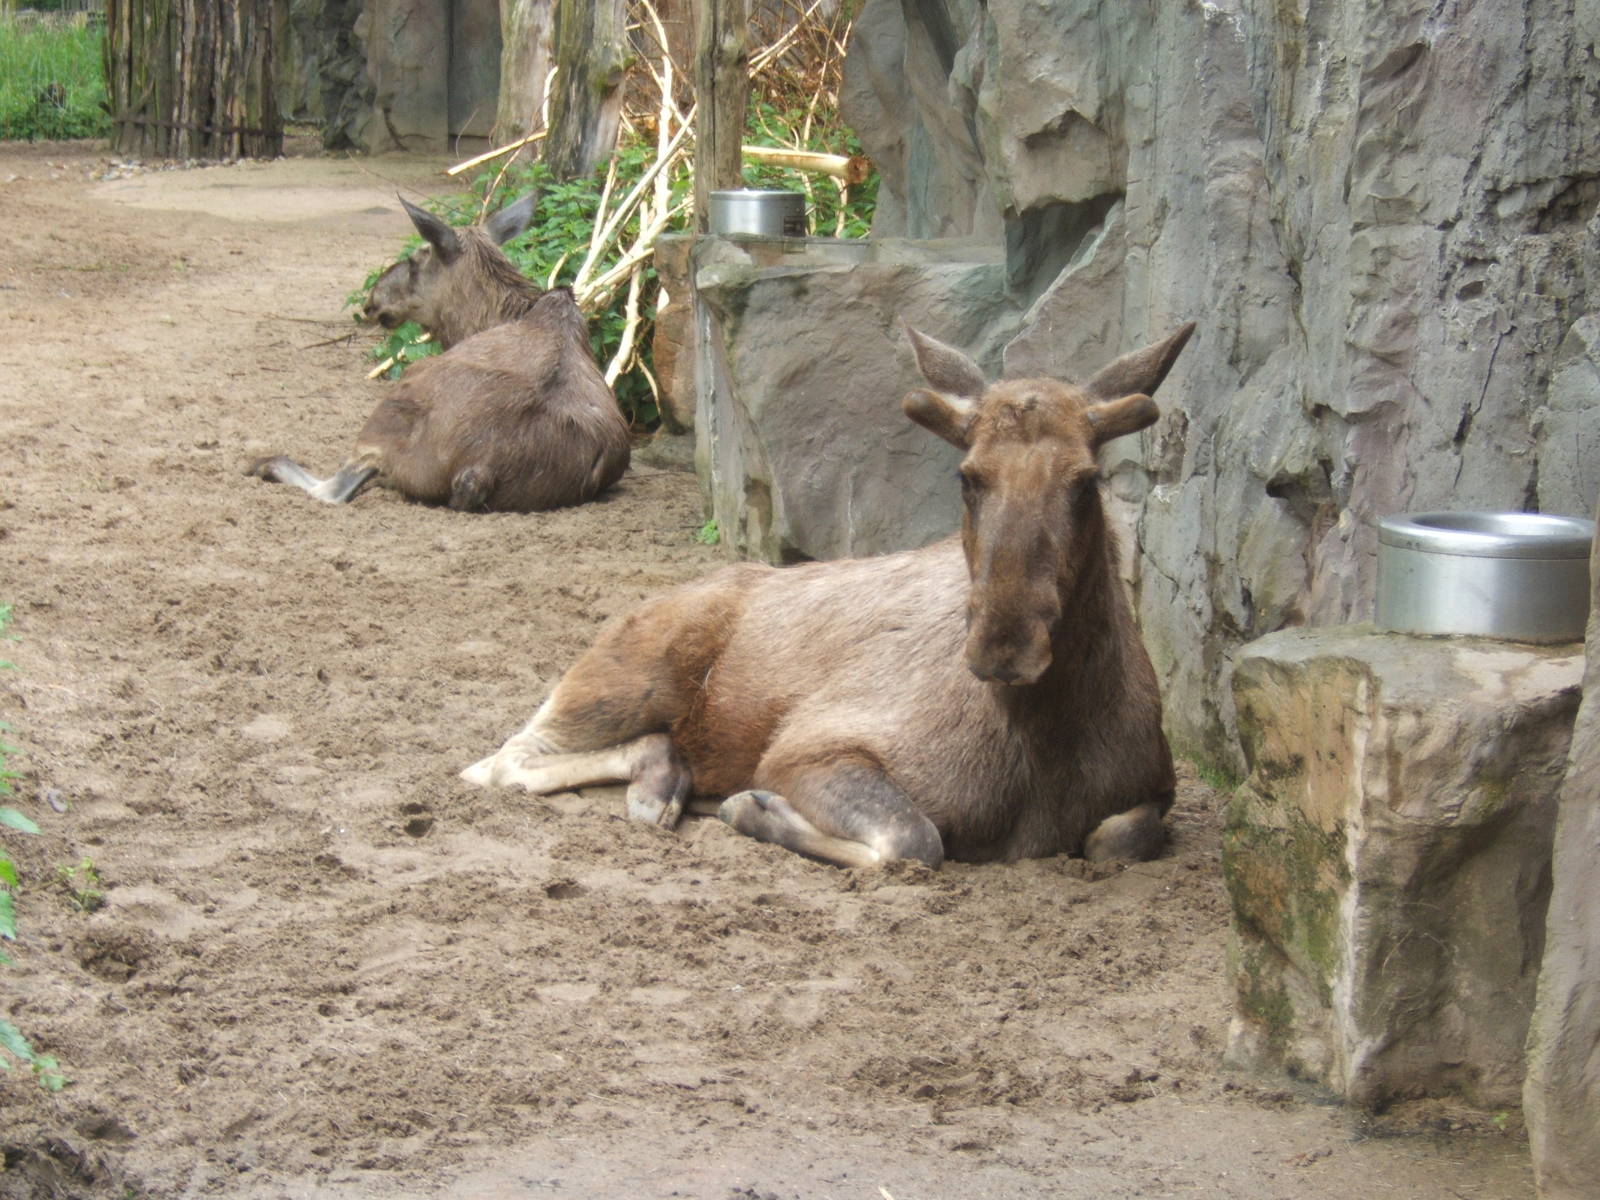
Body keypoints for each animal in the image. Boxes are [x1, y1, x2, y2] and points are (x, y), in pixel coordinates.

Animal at [247, 193, 631, 512]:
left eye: (416, 258)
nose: (373, 300)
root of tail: (478, 471)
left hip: (389, 410)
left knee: (333, 488)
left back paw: (264, 462)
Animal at [462, 321, 1197, 868]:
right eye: (967, 476)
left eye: (1085, 480)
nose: (1004, 646)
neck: (1047, 737)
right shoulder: (808, 748)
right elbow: (914, 839)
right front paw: (752, 808)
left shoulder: (1157, 786)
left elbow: (1114, 838)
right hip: (627, 677)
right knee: (502, 757)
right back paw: (662, 786)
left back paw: (665, 776)